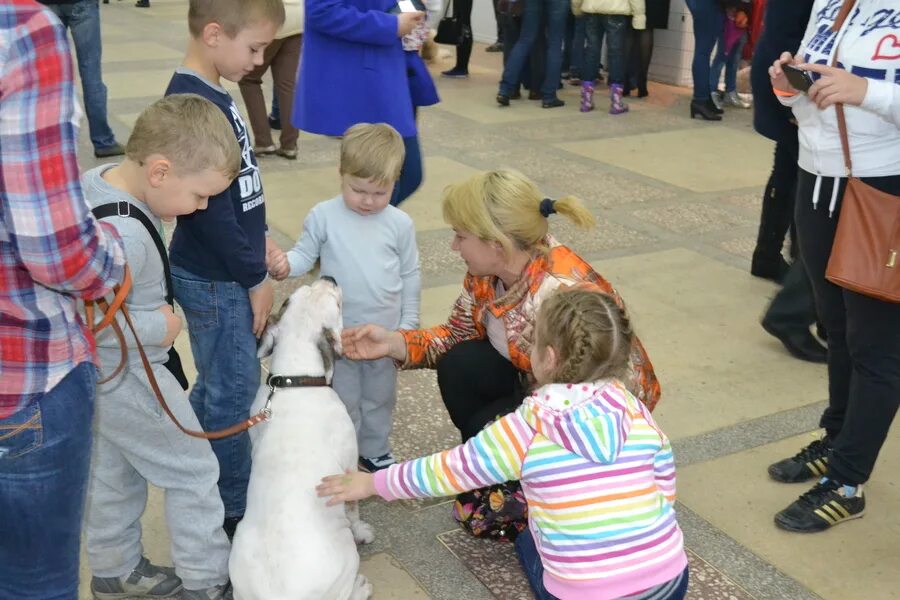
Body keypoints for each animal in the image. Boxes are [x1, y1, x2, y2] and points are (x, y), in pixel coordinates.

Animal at [232, 278, 376, 596]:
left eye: (290, 298)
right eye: (337, 303)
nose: (329, 278)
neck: (295, 380)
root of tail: (280, 595)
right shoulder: (349, 461)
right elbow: (354, 508)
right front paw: (363, 529)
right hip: (346, 554)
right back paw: (361, 587)